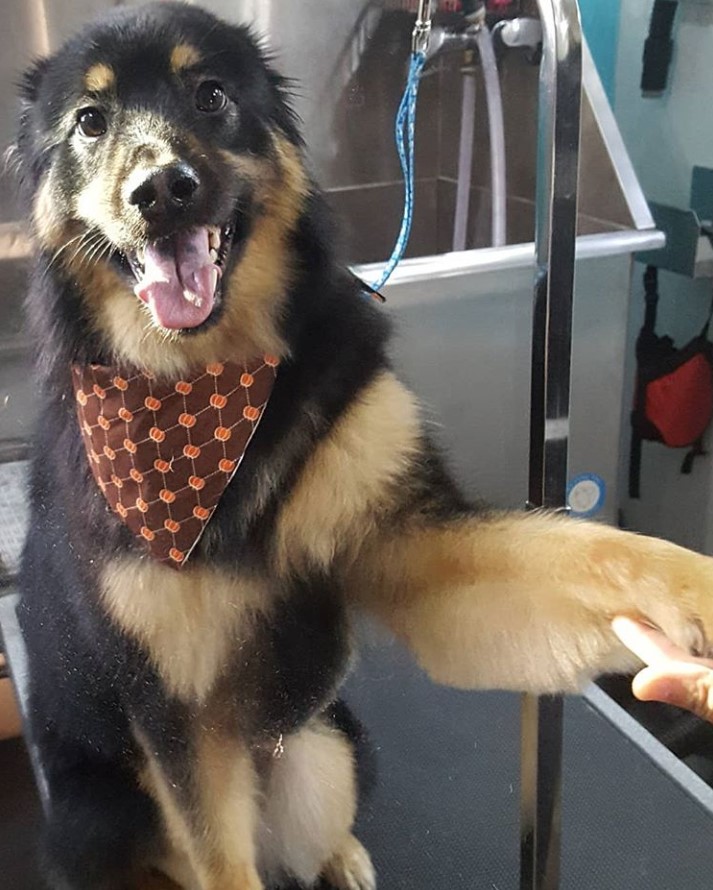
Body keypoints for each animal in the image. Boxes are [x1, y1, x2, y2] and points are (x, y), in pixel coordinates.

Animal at [12, 1, 713, 888]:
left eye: (210, 96)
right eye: (90, 122)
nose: (162, 190)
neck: (208, 392)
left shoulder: (412, 542)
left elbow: (600, 553)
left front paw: (698, 592)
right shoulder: (176, 715)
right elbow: (219, 861)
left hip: (326, 746)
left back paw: (341, 856)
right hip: (96, 819)